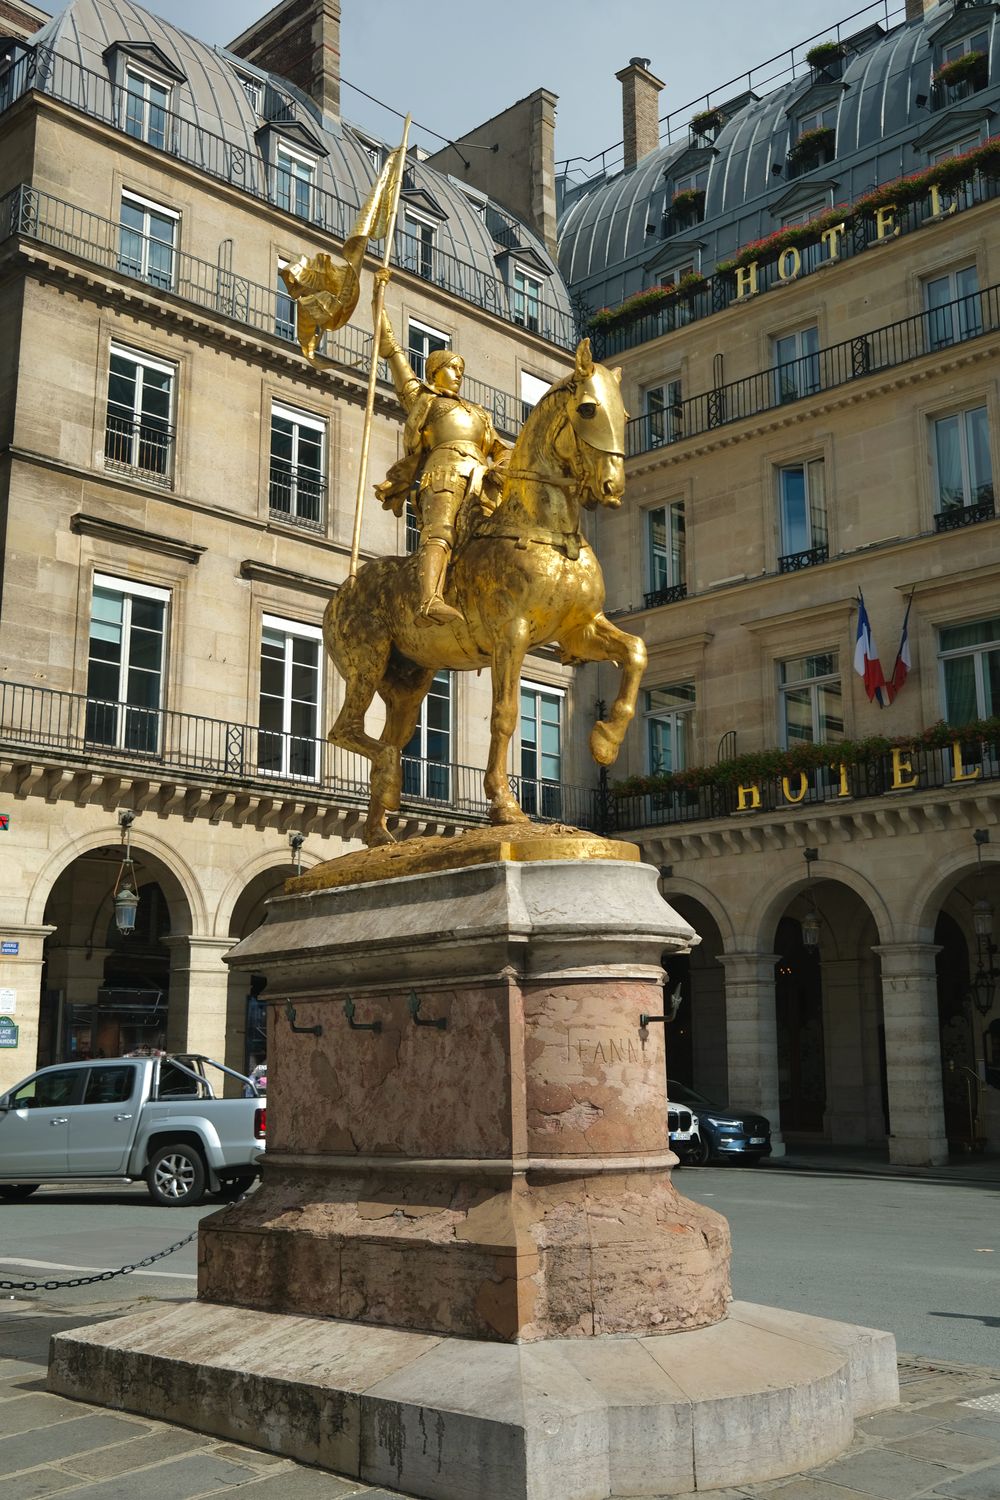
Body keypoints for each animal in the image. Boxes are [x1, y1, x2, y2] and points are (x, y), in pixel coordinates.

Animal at [325, 339, 644, 846]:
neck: (545, 528)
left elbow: (636, 652)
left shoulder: (577, 631)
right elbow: (505, 714)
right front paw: (505, 807)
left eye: (626, 413)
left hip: (408, 683)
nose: (612, 487)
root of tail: (345, 588)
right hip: (366, 663)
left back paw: (380, 832)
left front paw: (605, 741)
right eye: (588, 408)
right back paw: (390, 782)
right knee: (348, 731)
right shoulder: (510, 635)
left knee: (386, 737)